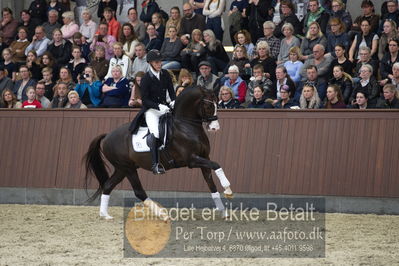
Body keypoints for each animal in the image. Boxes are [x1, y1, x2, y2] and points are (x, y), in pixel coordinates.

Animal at [85, 86, 234, 219]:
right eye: (208, 106)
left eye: (217, 104)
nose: (215, 128)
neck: (185, 126)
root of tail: (106, 136)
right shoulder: (192, 160)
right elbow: (216, 164)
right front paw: (228, 188)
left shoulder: (204, 157)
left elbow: (211, 184)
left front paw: (223, 210)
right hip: (127, 168)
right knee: (138, 191)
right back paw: (162, 214)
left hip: (122, 169)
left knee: (108, 186)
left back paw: (105, 215)